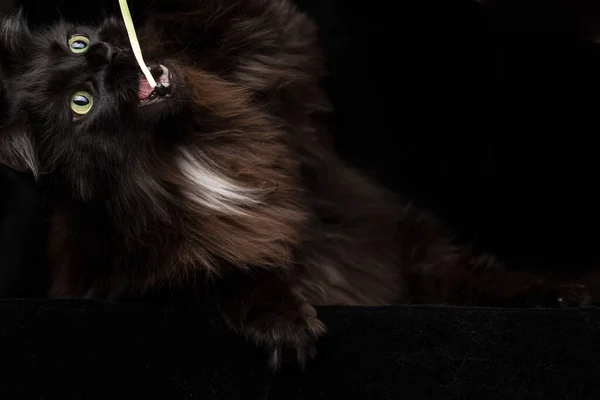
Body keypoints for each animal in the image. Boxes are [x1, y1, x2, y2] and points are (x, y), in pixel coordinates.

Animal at [0, 0, 592, 370]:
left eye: (78, 43)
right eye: (81, 102)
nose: (104, 52)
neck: (175, 150)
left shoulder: (270, 64)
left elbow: (239, 18)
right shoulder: (136, 280)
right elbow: (231, 275)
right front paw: (285, 323)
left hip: (421, 252)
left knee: (487, 278)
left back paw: (568, 293)